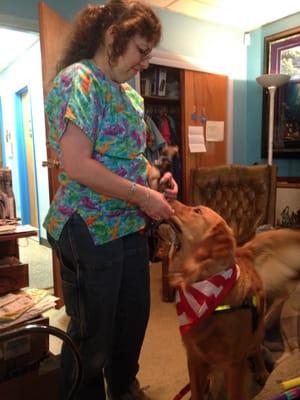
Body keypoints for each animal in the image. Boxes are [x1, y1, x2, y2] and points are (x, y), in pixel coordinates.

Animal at [157, 202, 300, 398]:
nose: (168, 198)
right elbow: (197, 391)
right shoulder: (194, 356)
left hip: (258, 328)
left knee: (256, 348)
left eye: (197, 210)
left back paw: (261, 371)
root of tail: (242, 252)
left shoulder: (234, 364)